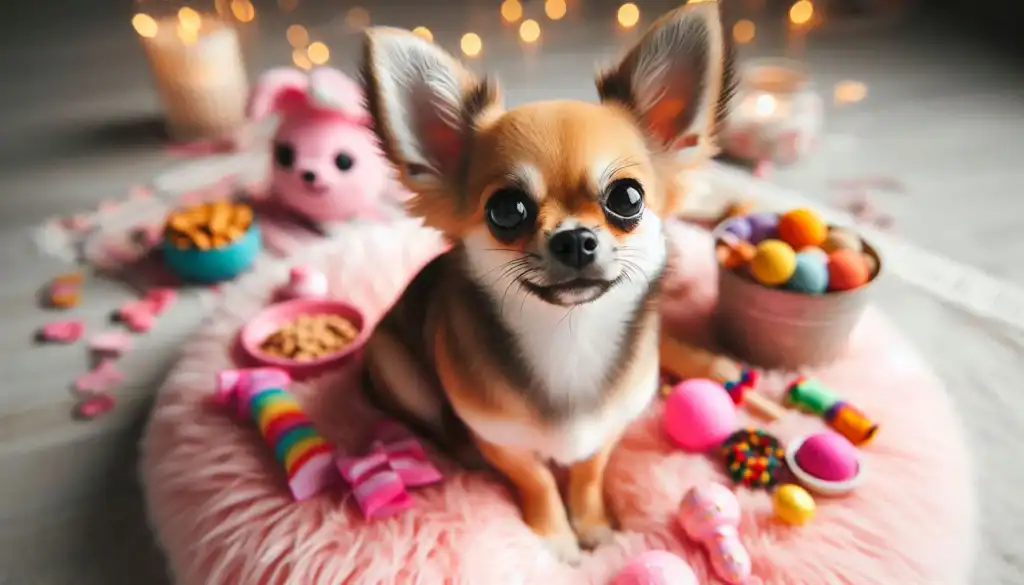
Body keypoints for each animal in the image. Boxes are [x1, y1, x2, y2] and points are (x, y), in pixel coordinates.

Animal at [359, 1, 735, 563]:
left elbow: (587, 475)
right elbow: (536, 480)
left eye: (627, 198)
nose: (574, 239)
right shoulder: (501, 439)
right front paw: (556, 539)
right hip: (394, 363)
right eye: (506, 210)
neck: (569, 338)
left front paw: (593, 525)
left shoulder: (607, 430)